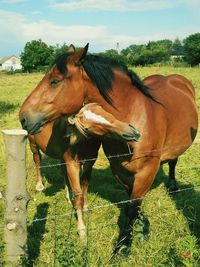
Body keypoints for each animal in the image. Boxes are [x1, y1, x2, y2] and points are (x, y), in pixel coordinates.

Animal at [19, 44, 198, 247]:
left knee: (174, 161)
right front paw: (140, 227)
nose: (23, 116)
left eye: (55, 81)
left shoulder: (147, 170)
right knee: (38, 160)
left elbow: (132, 204)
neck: (135, 115)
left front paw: (125, 244)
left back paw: (173, 184)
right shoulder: (117, 168)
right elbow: (130, 201)